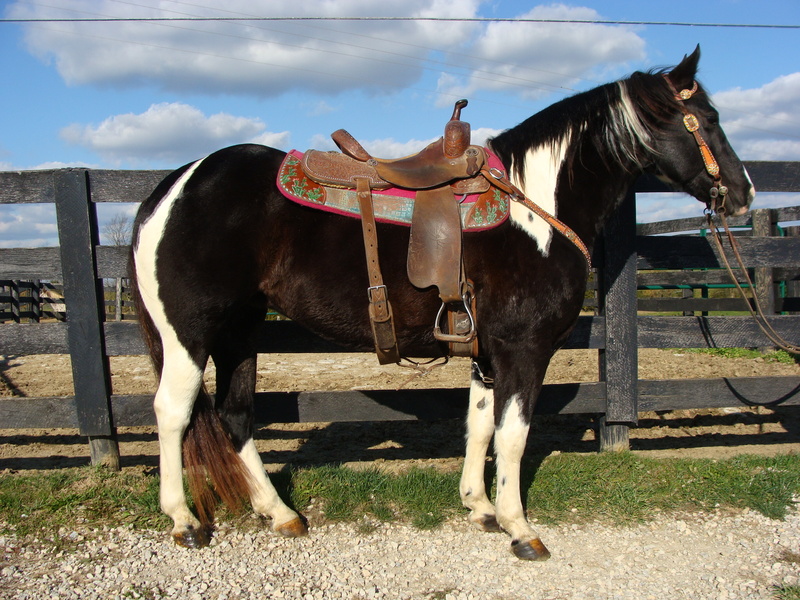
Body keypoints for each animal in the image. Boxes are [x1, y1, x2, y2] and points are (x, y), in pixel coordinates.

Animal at [130, 47, 754, 560]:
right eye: (711, 119)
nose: (745, 192)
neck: (536, 209)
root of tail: (176, 183)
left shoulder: (485, 352)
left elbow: (479, 425)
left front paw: (479, 507)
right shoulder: (524, 350)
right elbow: (513, 436)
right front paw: (519, 528)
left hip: (241, 330)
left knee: (235, 415)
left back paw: (280, 513)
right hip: (189, 333)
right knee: (173, 412)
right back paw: (184, 520)